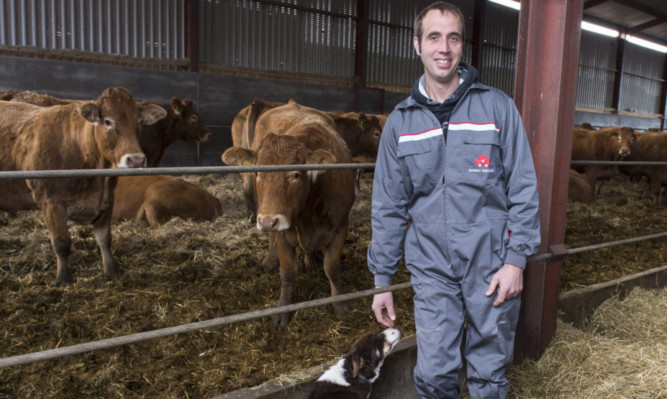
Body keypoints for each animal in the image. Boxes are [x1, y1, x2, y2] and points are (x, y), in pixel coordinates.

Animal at [0, 89, 166, 286]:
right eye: (108, 121)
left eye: (139, 122)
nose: (136, 160)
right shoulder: (50, 203)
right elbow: (61, 243)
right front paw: (63, 278)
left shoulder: (107, 199)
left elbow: (104, 238)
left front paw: (112, 270)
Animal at [222, 101, 358, 326]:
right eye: (257, 172)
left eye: (295, 174)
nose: (268, 221)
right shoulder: (283, 234)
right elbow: (287, 272)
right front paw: (282, 310)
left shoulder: (340, 227)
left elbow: (332, 268)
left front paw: (340, 305)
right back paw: (271, 261)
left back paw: (310, 261)